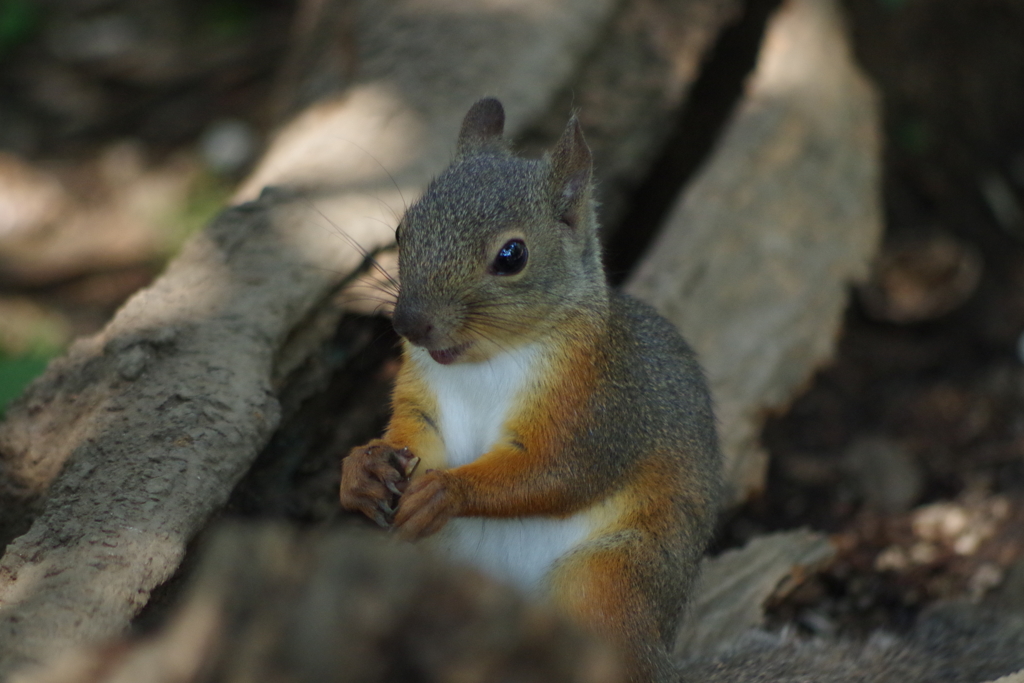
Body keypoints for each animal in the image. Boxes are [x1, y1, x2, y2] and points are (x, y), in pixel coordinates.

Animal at [337, 97, 720, 683]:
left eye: (512, 255)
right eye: (403, 229)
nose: (410, 324)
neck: (486, 364)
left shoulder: (601, 411)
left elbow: (557, 470)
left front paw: (448, 491)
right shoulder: (422, 400)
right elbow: (411, 437)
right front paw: (362, 470)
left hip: (606, 581)